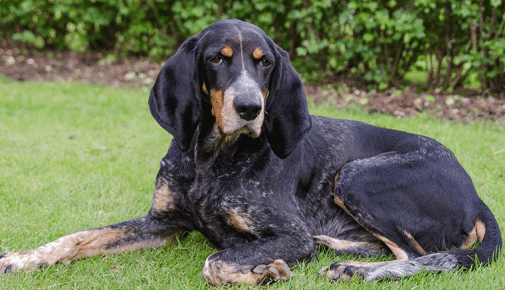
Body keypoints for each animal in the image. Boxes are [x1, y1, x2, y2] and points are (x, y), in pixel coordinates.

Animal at [0, 19, 500, 286]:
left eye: (266, 63)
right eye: (216, 59)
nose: (249, 108)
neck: (212, 159)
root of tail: (476, 195)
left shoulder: (290, 234)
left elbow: (217, 262)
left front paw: (265, 271)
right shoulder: (161, 223)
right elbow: (80, 237)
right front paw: (25, 258)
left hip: (358, 175)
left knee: (419, 258)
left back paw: (358, 270)